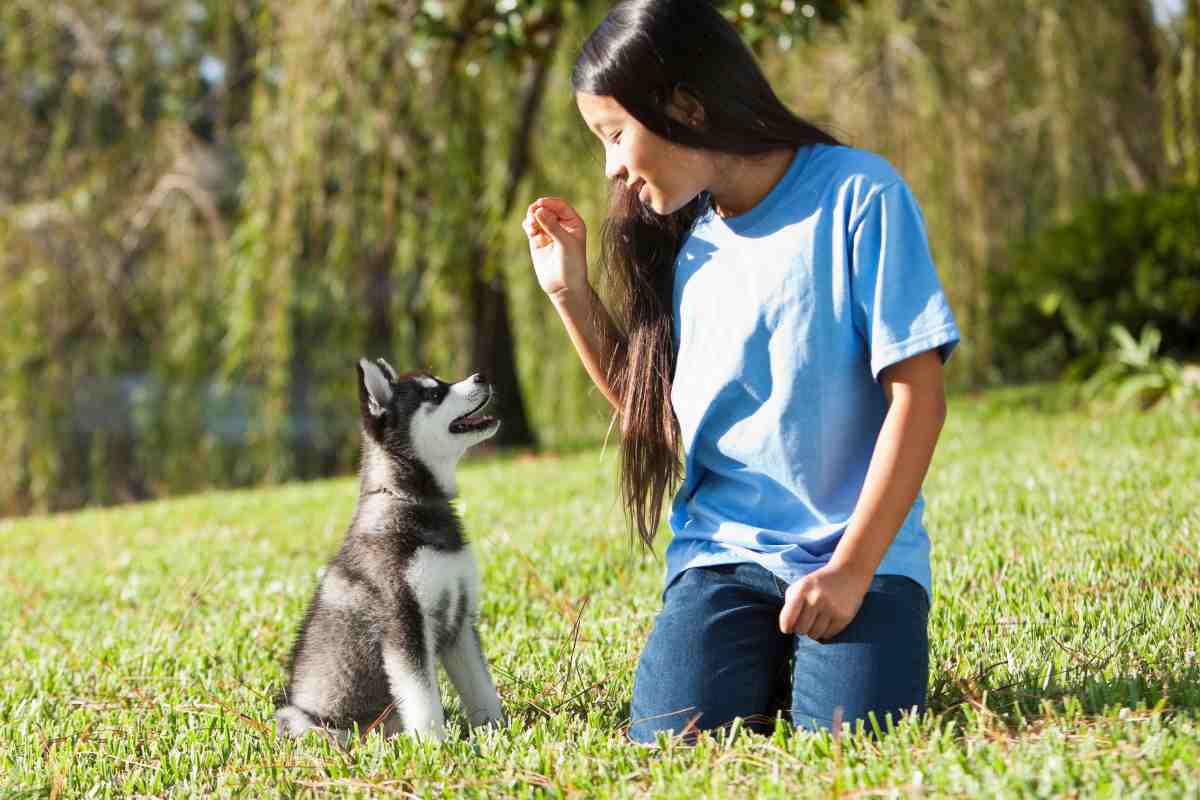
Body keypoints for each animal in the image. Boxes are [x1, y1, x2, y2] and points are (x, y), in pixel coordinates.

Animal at [274, 359, 504, 743]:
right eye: (433, 394)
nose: (482, 376)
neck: (411, 501)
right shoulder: (403, 624)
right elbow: (424, 699)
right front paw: (435, 746)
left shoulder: (460, 621)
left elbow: (481, 688)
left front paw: (496, 731)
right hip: (304, 719)